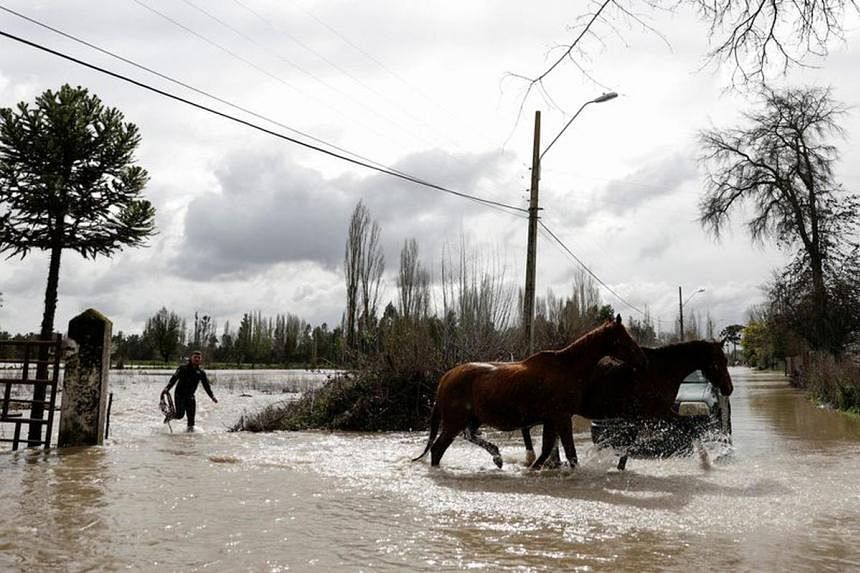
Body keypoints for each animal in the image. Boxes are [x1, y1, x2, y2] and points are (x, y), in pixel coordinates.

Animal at [414, 312, 648, 470]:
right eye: (623, 338)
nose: (643, 360)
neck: (567, 368)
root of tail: (446, 377)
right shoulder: (562, 418)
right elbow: (570, 454)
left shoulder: (551, 420)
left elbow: (546, 452)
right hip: (454, 422)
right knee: (437, 449)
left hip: (471, 420)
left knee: (468, 437)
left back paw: (497, 457)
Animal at [516, 340, 732, 464]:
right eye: (717, 363)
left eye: (726, 361)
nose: (728, 389)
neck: (660, 370)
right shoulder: (660, 411)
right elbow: (690, 428)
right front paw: (704, 460)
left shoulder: (642, 416)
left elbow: (628, 443)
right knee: (527, 428)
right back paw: (532, 457)